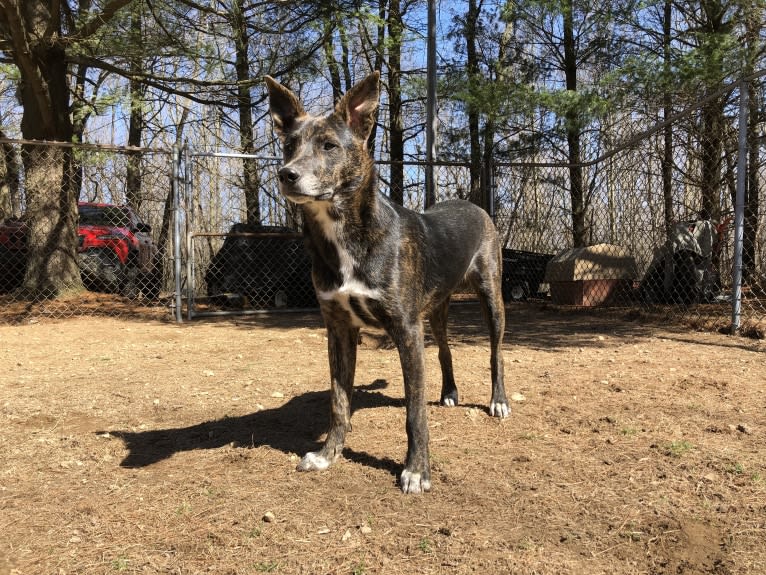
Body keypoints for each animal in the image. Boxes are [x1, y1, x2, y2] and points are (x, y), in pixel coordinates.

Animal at [266, 72, 510, 496]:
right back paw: (448, 393)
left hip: (490, 296)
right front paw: (328, 455)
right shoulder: (338, 328)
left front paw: (416, 470)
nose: (287, 175)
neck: (347, 235)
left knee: (495, 353)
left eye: (329, 145)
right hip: (437, 310)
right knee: (445, 351)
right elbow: (339, 403)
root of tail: (471, 203)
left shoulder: (405, 329)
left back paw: (498, 401)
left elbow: (414, 412)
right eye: (289, 145)